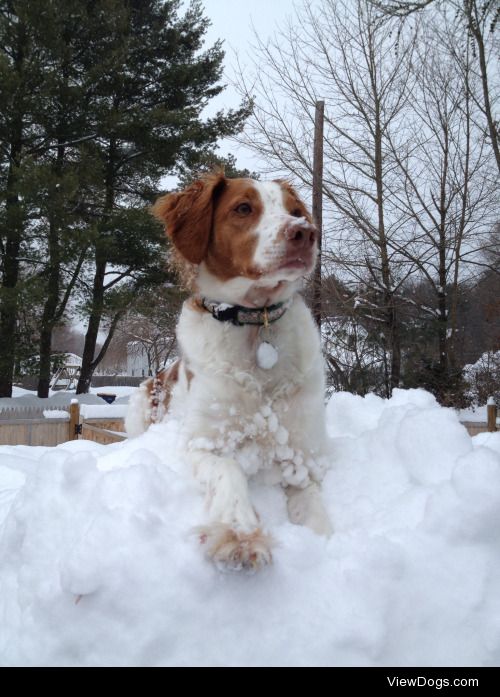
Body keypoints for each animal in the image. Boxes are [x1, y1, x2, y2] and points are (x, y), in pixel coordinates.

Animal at [126, 173, 332, 572]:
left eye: (296, 212)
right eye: (243, 208)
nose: (305, 233)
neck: (256, 322)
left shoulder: (302, 455)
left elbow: (316, 510)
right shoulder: (201, 444)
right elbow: (229, 470)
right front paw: (239, 535)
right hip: (140, 399)